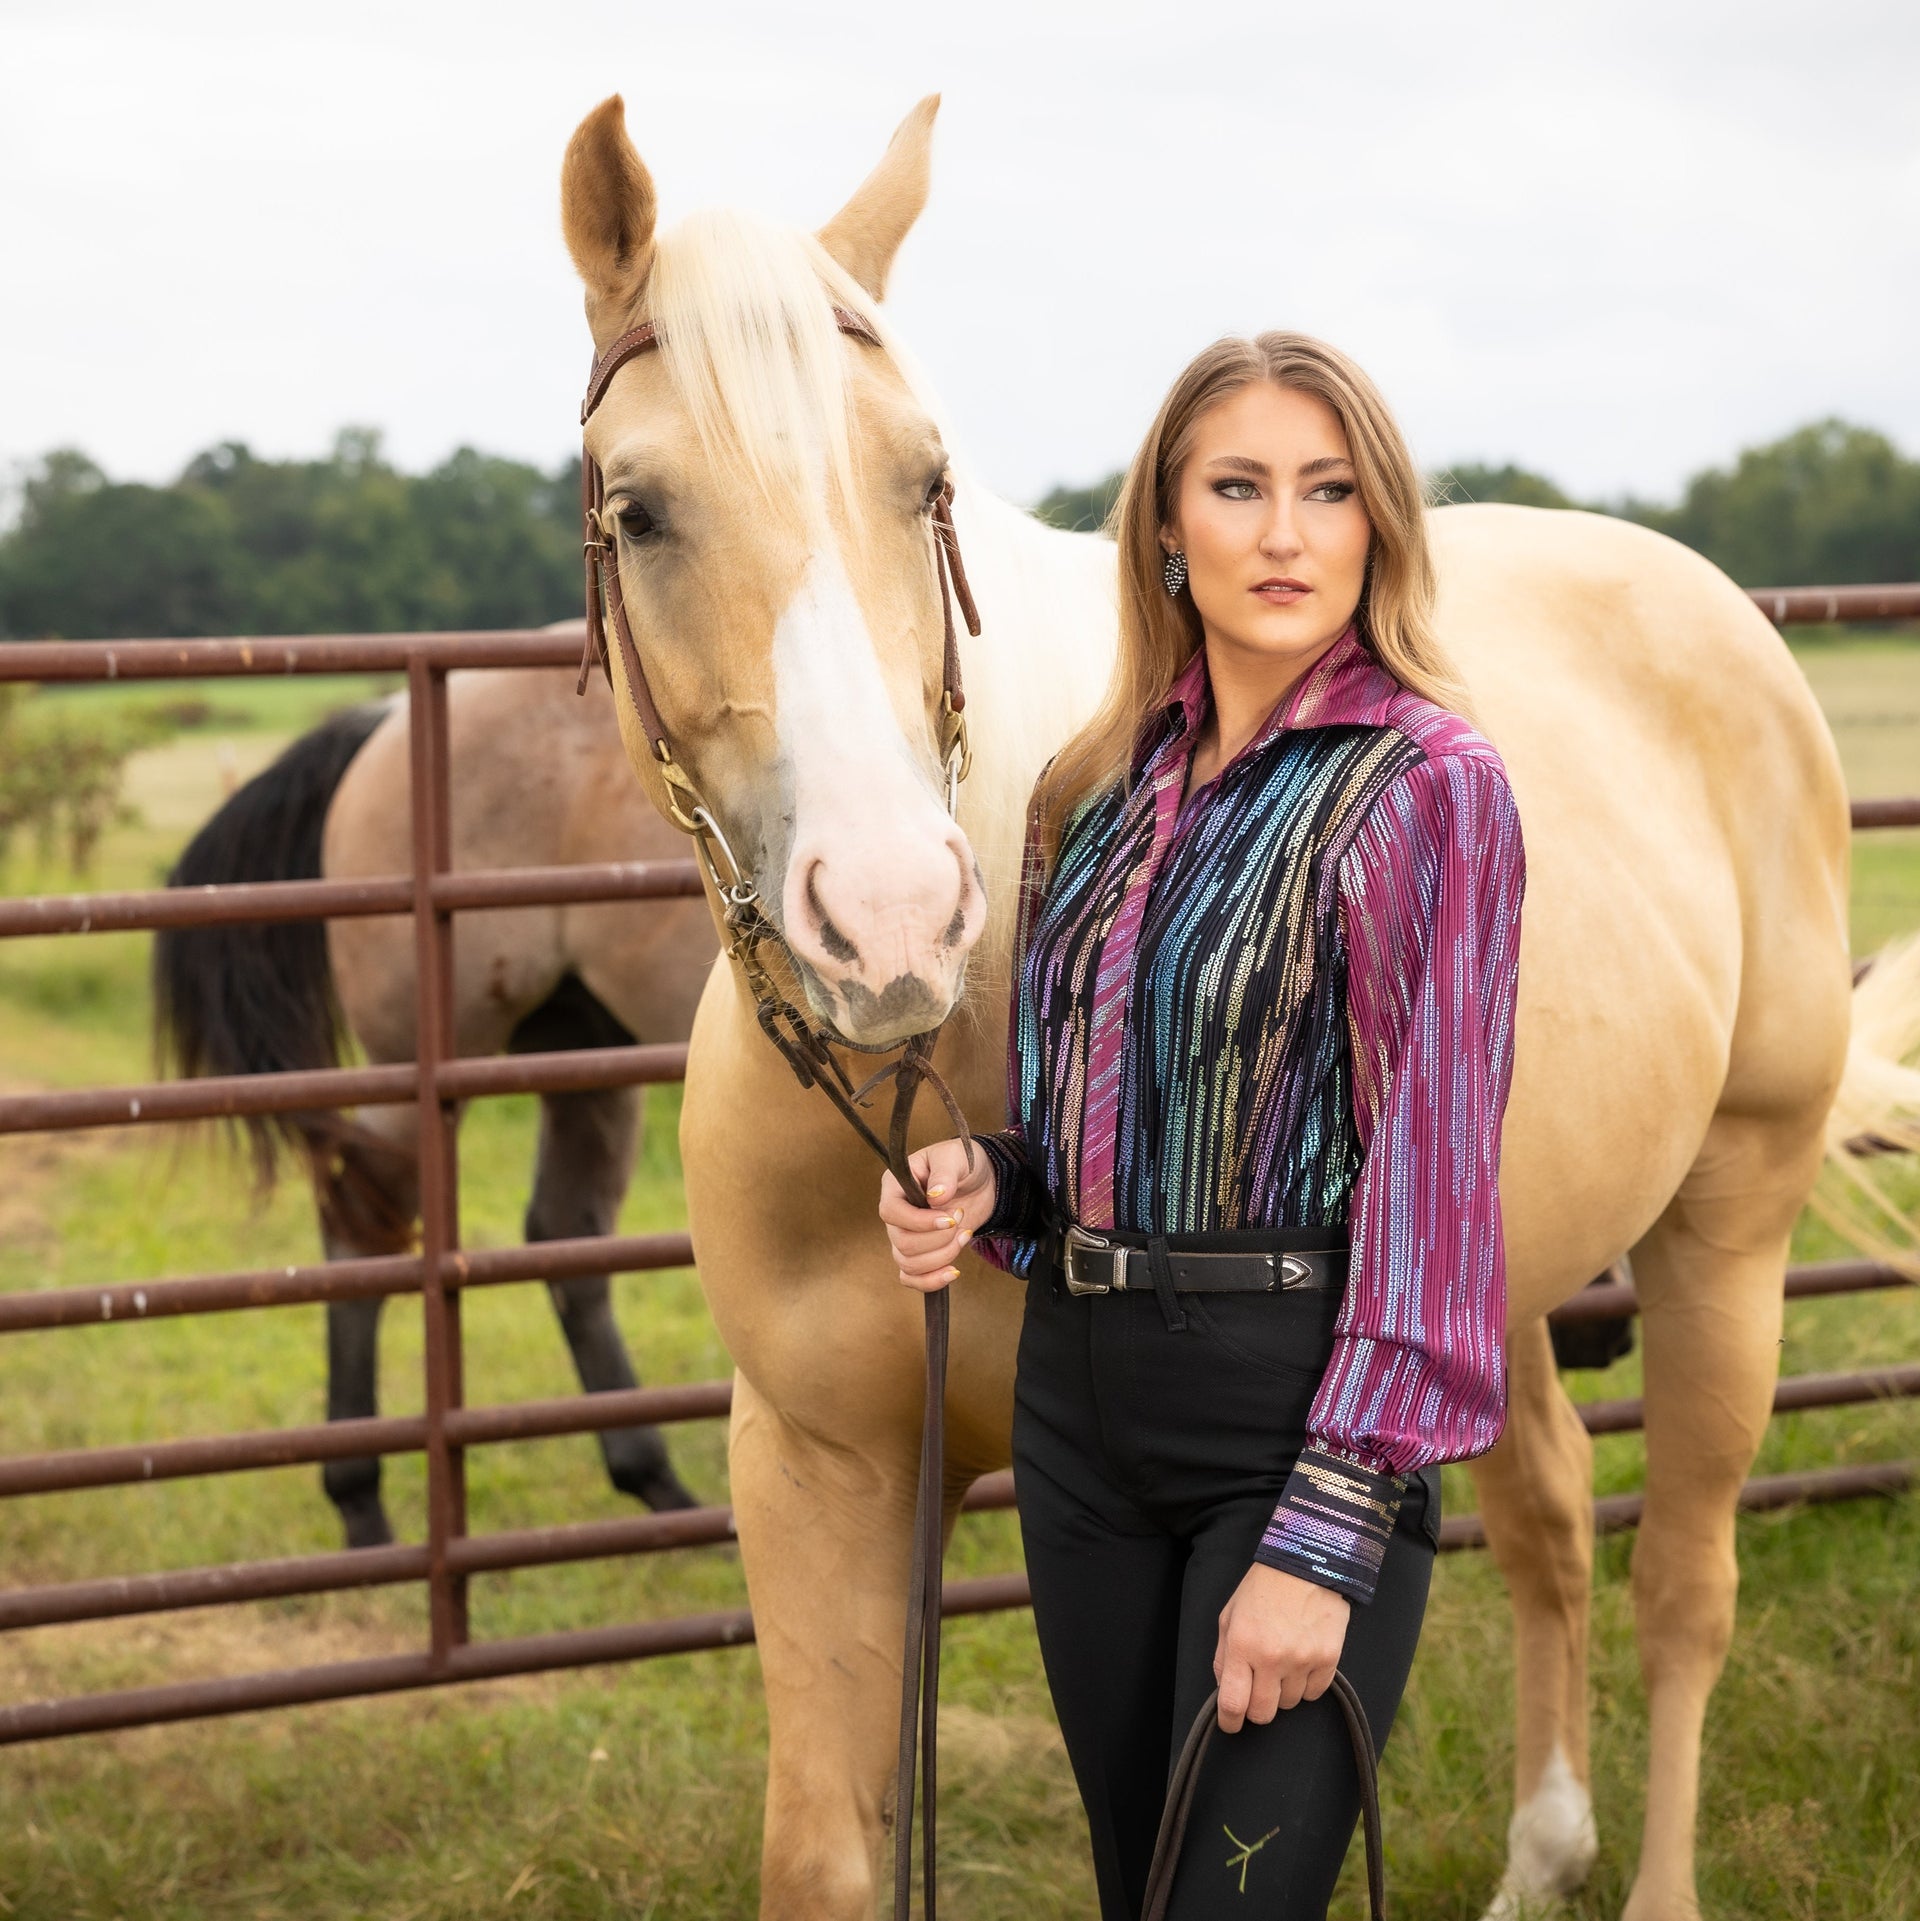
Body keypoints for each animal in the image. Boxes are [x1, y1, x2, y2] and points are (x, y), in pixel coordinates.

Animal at [151, 660, 722, 1544]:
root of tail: (385, 720)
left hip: (584, 1050)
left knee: (568, 1236)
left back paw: (654, 1480)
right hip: (418, 1066)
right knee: (363, 1235)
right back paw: (362, 1505)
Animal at [561, 93, 1920, 1921]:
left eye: (926, 480)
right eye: (640, 510)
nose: (896, 913)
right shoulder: (819, 1476)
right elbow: (827, 1856)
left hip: (1730, 1225)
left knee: (1684, 1587)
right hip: (1489, 1265)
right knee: (1554, 1513)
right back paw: (1536, 1858)